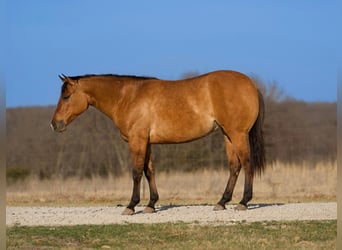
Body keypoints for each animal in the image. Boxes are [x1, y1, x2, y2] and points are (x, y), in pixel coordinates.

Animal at [50, 70, 266, 215]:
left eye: (66, 96)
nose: (55, 124)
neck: (128, 96)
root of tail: (251, 85)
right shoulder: (147, 142)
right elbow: (149, 171)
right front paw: (151, 204)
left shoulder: (137, 141)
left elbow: (136, 172)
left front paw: (131, 206)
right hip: (227, 135)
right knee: (234, 167)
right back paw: (222, 202)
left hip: (237, 135)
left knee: (247, 164)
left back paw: (243, 202)